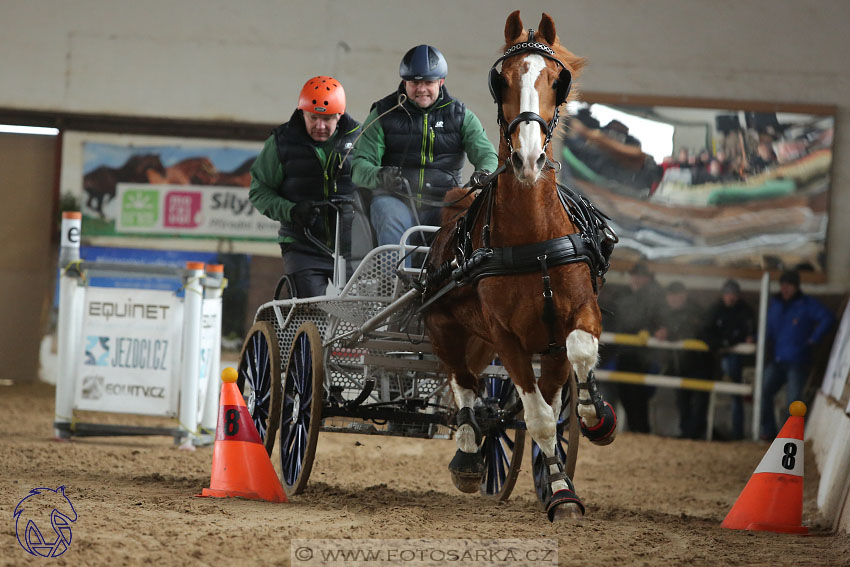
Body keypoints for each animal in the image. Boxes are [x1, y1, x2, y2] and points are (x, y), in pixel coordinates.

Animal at [428, 10, 612, 524]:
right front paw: (560, 489)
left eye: (556, 80)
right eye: (502, 79)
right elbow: (539, 418)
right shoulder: (505, 337)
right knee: (465, 388)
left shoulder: (579, 313)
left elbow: (580, 356)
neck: (534, 241)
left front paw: (594, 417)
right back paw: (470, 454)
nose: (528, 158)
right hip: (445, 329)